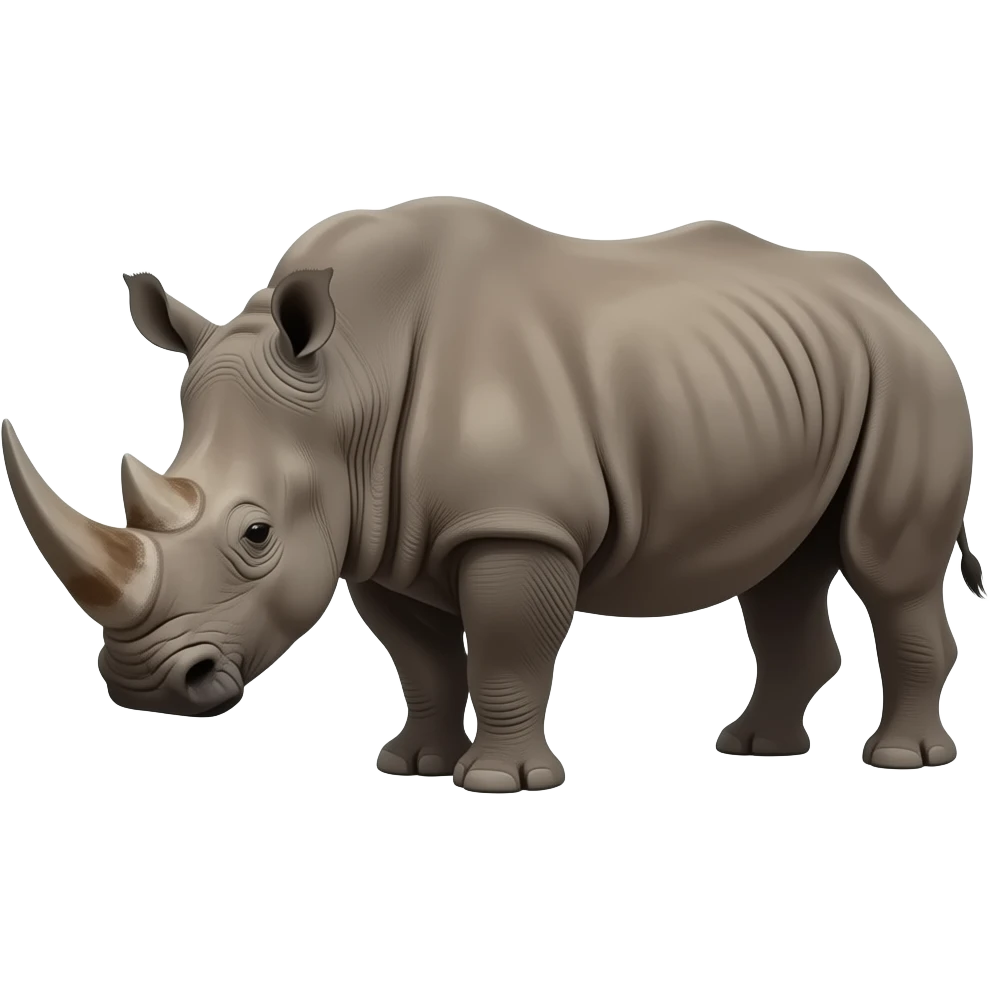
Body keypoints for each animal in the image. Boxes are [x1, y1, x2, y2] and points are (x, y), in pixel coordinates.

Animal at [2, 198, 982, 788]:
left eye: (256, 535)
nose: (147, 687)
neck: (347, 381)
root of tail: (902, 305)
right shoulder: (378, 536)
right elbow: (423, 660)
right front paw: (413, 764)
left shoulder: (517, 524)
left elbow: (508, 650)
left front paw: (499, 782)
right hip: (792, 375)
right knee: (783, 569)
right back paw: (755, 751)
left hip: (910, 377)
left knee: (888, 567)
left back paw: (902, 761)